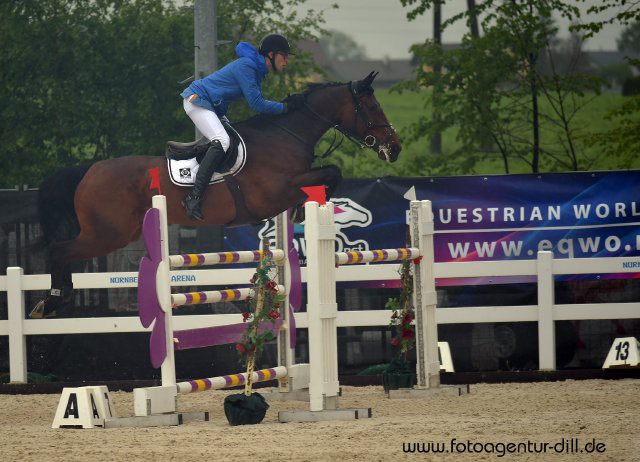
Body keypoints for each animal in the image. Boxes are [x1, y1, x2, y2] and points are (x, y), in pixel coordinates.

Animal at [31, 71, 400, 318]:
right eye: (372, 107)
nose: (394, 148)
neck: (285, 134)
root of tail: (88, 170)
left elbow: (330, 173)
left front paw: (302, 209)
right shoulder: (273, 193)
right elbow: (332, 172)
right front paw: (303, 208)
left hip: (115, 232)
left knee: (60, 250)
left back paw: (54, 300)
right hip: (108, 234)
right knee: (59, 250)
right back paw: (52, 300)